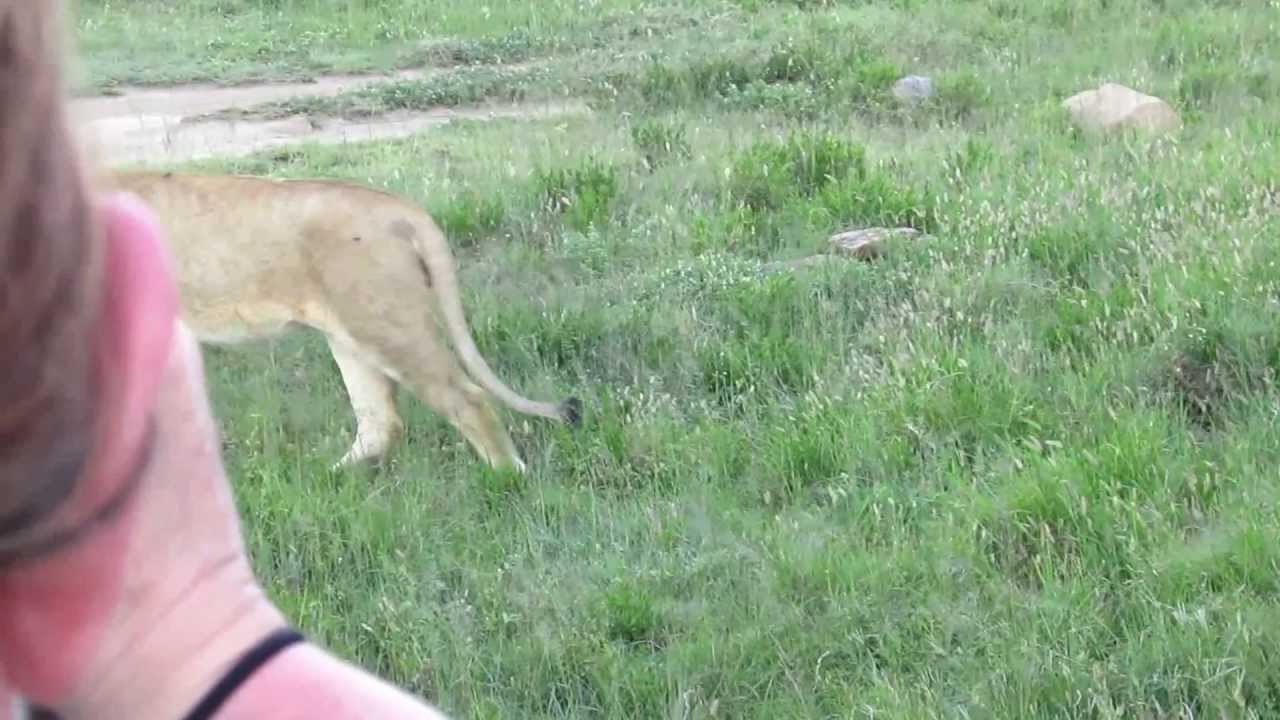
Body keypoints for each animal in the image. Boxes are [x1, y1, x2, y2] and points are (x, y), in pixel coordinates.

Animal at [102, 169, 581, 473]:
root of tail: (401, 208)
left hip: (388, 325)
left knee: (467, 399)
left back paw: (508, 477)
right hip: (350, 335)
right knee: (379, 420)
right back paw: (329, 477)